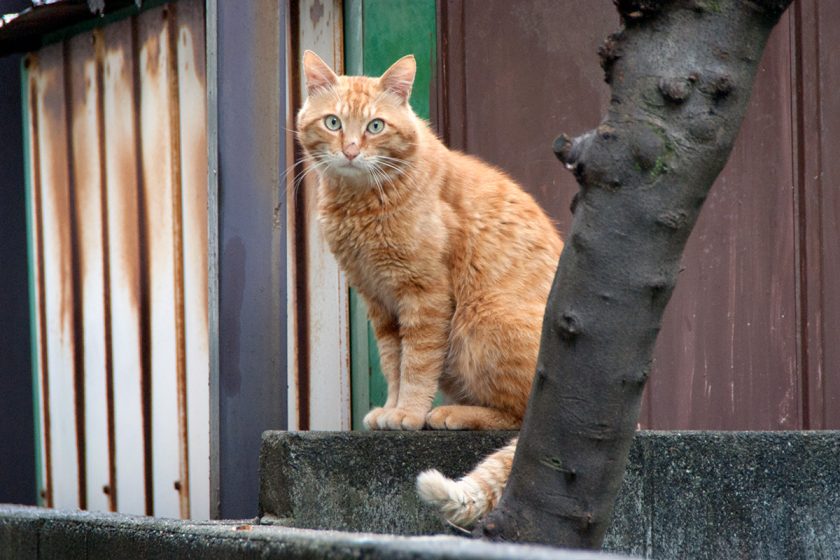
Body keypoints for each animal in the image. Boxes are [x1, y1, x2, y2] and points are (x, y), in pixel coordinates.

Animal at [296, 51, 564, 524]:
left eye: (375, 126)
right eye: (333, 122)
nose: (351, 150)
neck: (360, 202)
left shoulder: (425, 295)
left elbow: (417, 363)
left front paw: (409, 413)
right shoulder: (379, 301)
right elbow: (394, 363)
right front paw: (393, 408)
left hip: (481, 317)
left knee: (520, 414)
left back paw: (452, 413)